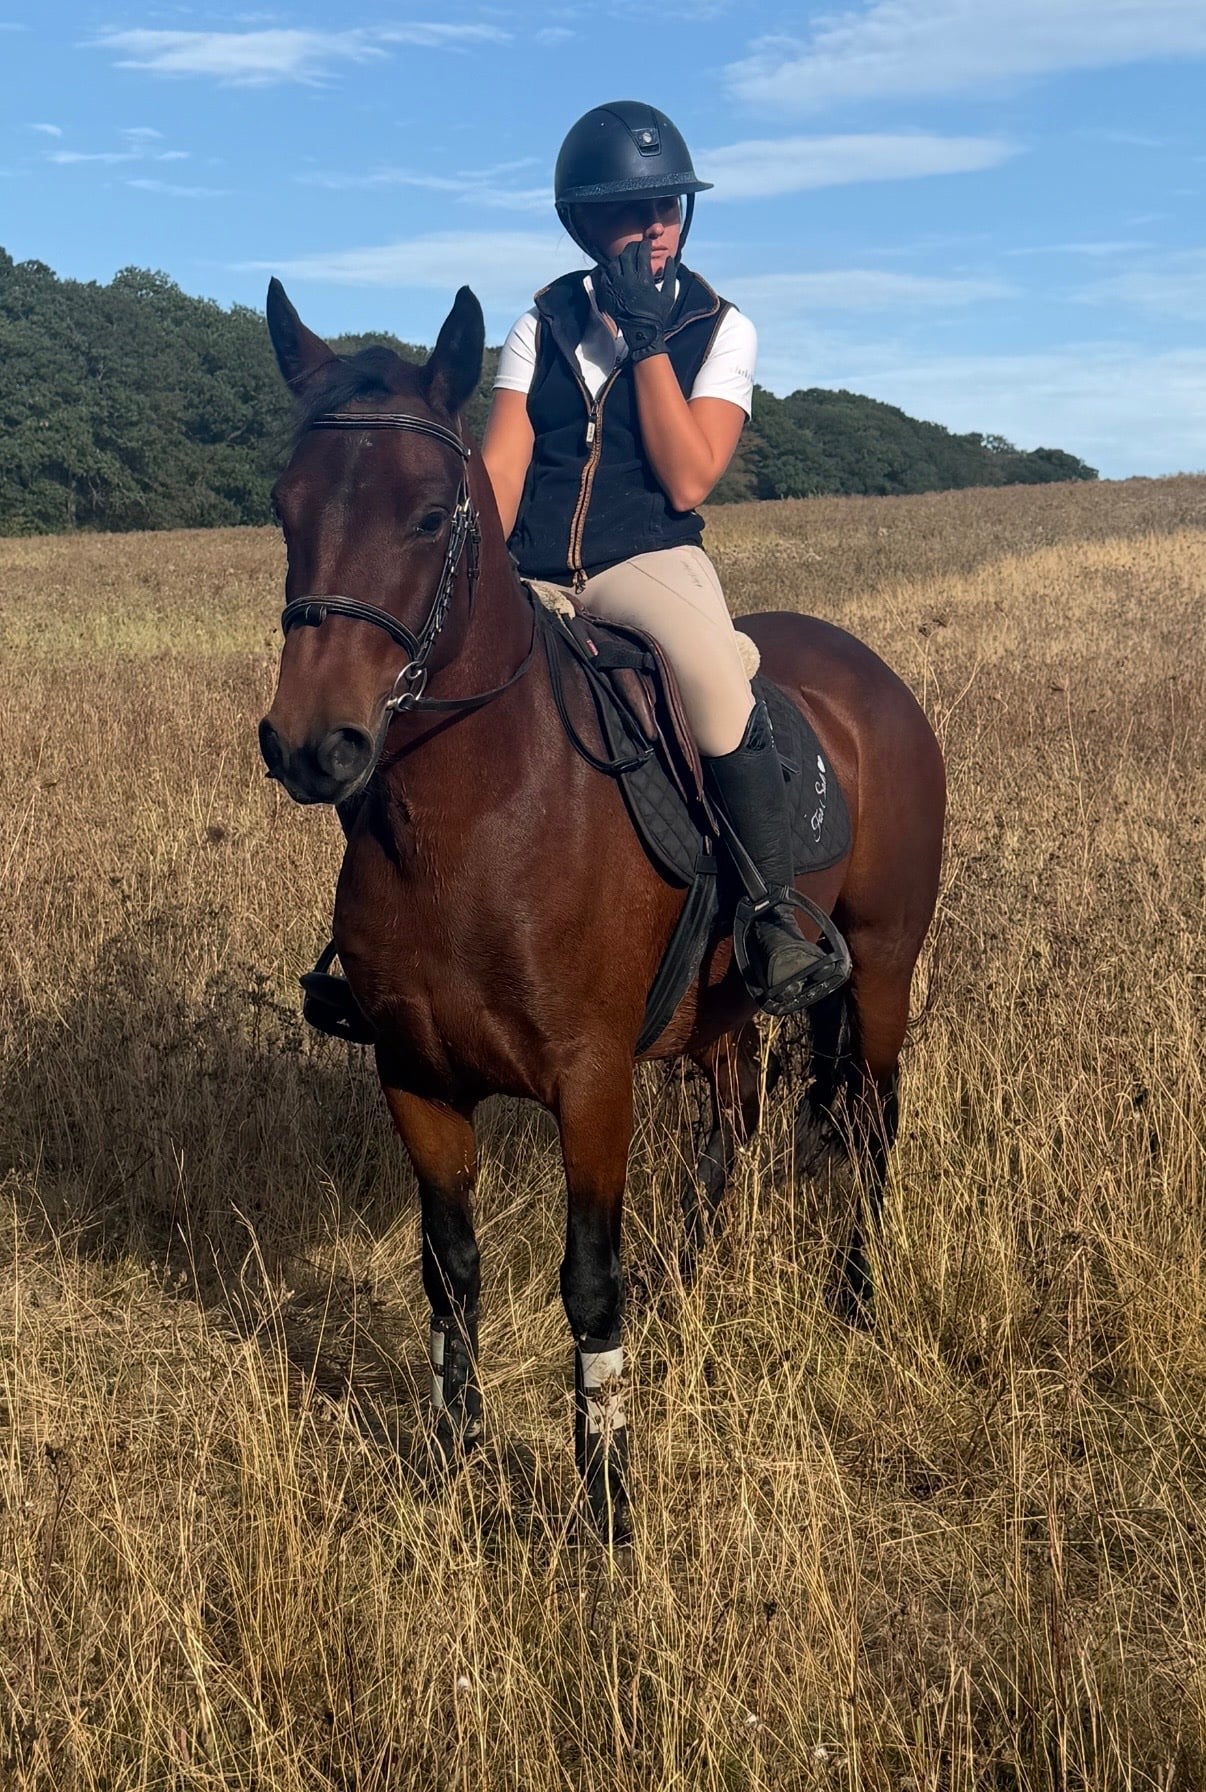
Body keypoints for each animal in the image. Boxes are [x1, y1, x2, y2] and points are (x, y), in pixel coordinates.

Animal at [257, 278, 946, 1539]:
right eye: (286, 509)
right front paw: (452, 1461)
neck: (477, 816)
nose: (312, 746)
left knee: (871, 1130)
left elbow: (589, 1280)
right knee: (733, 1130)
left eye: (431, 515)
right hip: (720, 1016)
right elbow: (450, 1271)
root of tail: (867, 675)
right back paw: (697, 1290)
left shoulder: (591, 1083)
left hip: (881, 966)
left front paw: (608, 1502)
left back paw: (854, 1302)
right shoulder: (415, 1077)